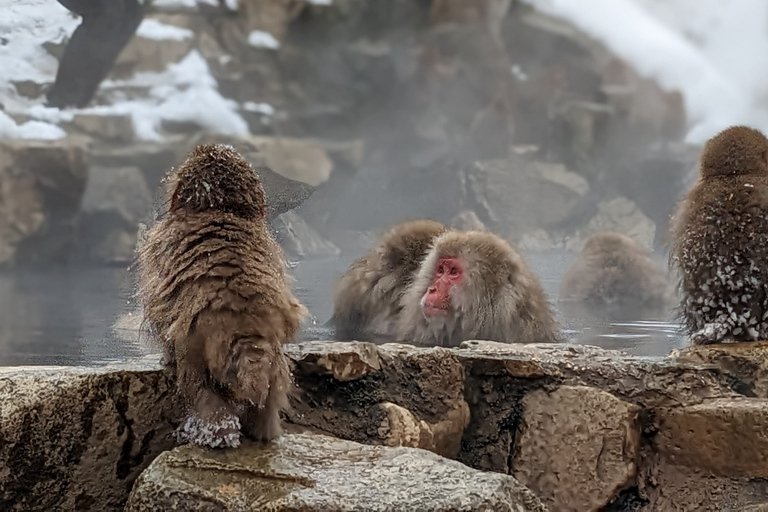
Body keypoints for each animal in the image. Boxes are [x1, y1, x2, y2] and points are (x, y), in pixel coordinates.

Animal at [138, 144, 306, 448]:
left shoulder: (158, 250)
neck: (219, 208)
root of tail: (245, 325)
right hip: (274, 360)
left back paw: (216, 433)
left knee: (201, 391)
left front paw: (165, 357)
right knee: (270, 394)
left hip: (197, 351)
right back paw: (264, 430)